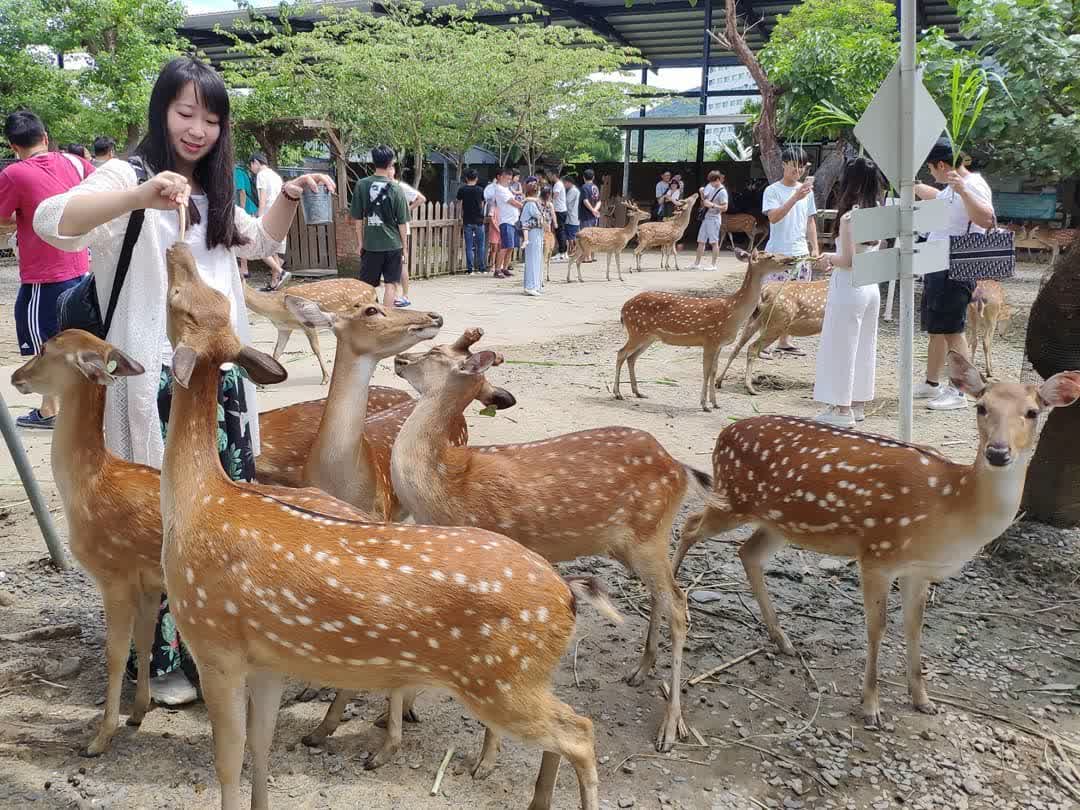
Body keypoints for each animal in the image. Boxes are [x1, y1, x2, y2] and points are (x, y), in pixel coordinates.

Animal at [243, 278, 376, 385]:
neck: (276, 307)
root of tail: (373, 290)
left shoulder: (307, 324)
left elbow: (315, 349)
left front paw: (325, 379)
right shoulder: (284, 329)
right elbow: (277, 351)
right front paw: (264, 382)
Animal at [391, 343, 712, 753]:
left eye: (434, 351)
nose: (399, 359)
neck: (445, 486)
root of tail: (680, 467)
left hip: (649, 534)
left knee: (679, 604)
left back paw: (670, 728)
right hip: (633, 543)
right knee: (662, 595)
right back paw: (641, 670)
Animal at [614, 250, 797, 411]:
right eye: (770, 256)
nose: (792, 258)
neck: (732, 312)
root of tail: (623, 309)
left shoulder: (719, 344)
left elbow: (713, 371)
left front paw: (715, 403)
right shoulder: (710, 339)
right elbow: (706, 371)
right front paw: (704, 405)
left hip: (649, 337)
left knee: (632, 358)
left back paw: (637, 392)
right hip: (637, 331)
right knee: (621, 353)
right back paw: (618, 393)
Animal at [673, 352, 1080, 728]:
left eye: (1032, 412)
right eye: (982, 407)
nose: (998, 452)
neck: (951, 505)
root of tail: (724, 434)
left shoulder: (918, 569)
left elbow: (914, 626)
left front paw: (923, 699)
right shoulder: (877, 554)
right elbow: (877, 626)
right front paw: (870, 707)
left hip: (779, 522)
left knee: (749, 553)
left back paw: (782, 639)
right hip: (734, 498)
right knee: (690, 524)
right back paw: (674, 591)